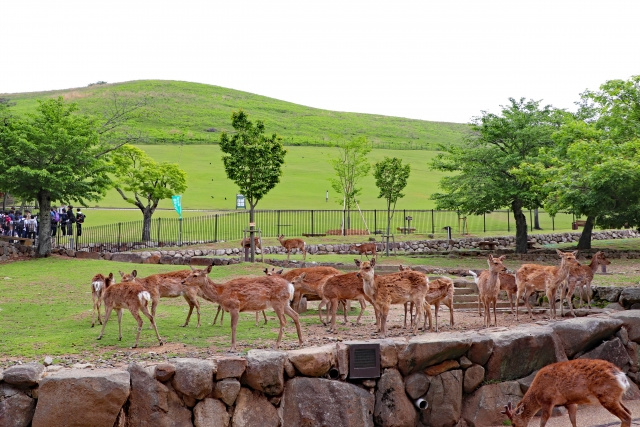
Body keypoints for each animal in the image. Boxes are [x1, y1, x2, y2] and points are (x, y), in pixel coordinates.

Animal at [501, 358, 631, 427]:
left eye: (513, 423)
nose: (514, 424)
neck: (536, 393)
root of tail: (622, 377)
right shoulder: (570, 402)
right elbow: (573, 420)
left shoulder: (548, 401)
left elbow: (543, 422)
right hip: (617, 397)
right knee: (628, 412)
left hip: (606, 396)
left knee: (626, 416)